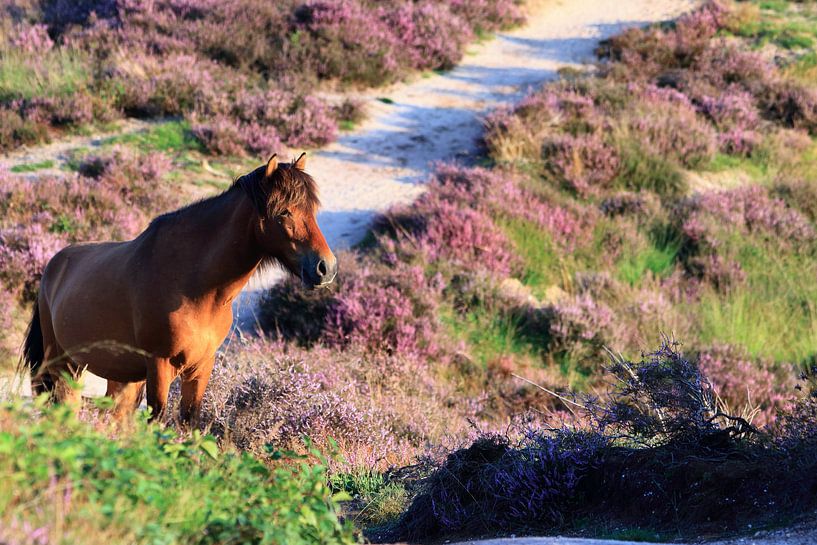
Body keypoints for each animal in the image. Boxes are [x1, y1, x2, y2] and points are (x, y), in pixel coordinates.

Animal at [19, 153, 336, 423]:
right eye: (283, 212)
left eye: (312, 210)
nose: (326, 268)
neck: (195, 287)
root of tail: (53, 267)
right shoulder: (159, 366)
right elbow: (157, 421)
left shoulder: (201, 367)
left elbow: (189, 421)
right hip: (64, 366)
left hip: (120, 377)